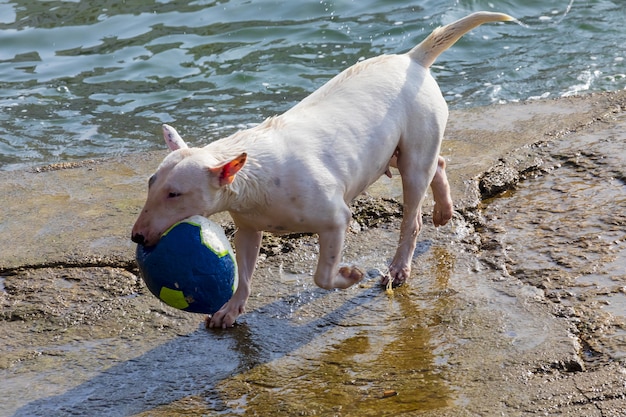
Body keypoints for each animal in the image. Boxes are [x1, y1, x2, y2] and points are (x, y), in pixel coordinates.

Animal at [132, 11, 512, 326]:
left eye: (175, 194)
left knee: (413, 213)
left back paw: (399, 268)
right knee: (439, 163)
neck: (254, 174)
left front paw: (351, 276)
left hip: (415, 149)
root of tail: (411, 59)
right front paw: (229, 311)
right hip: (393, 150)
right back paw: (444, 211)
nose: (136, 237)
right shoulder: (248, 228)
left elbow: (323, 275)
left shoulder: (335, 219)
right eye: (150, 185)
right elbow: (245, 270)